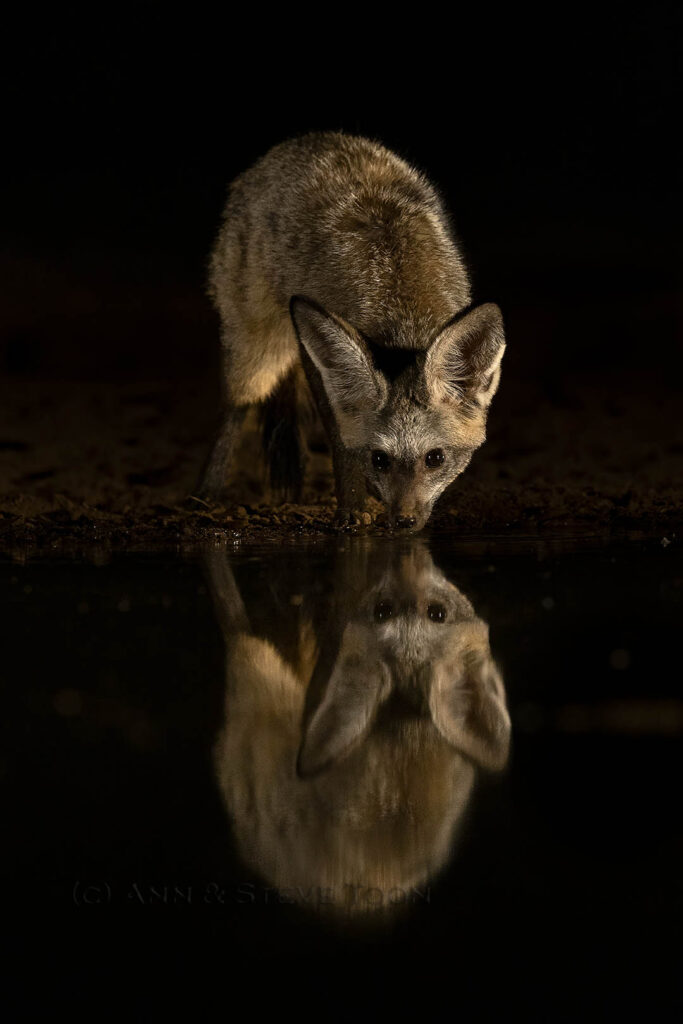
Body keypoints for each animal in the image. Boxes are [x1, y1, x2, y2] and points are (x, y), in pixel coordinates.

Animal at [198, 132, 506, 530]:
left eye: (435, 458)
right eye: (380, 459)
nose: (403, 521)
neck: (400, 303)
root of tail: (312, 138)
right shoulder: (316, 360)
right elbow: (342, 442)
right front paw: (352, 509)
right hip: (257, 350)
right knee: (237, 406)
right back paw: (205, 494)